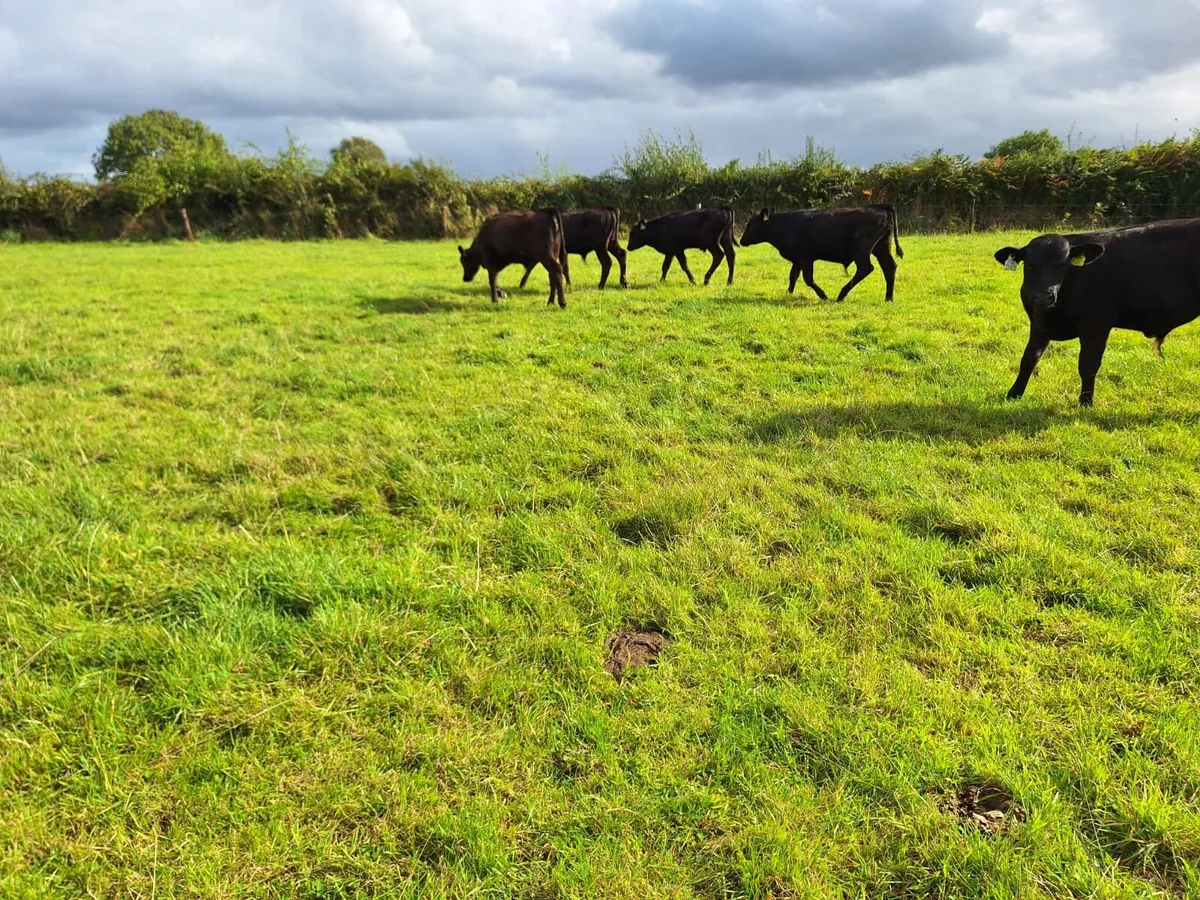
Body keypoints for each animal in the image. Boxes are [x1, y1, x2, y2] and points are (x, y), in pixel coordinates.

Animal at [738, 204, 904, 302]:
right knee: (889, 268)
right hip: (882, 247)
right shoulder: (798, 259)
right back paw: (888, 298)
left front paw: (823, 295)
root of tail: (879, 207)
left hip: (861, 250)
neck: (783, 226)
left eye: (751, 226)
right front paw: (789, 292)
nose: (741, 241)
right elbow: (793, 276)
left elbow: (808, 279)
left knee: (865, 268)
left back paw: (841, 295)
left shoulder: (806, 258)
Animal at [994, 219, 1200, 406]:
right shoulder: (1039, 324)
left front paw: (1086, 402)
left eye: (1064, 265)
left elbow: (1088, 366)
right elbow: (1029, 359)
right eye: (1030, 264)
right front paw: (1014, 394)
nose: (1044, 296)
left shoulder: (1096, 325)